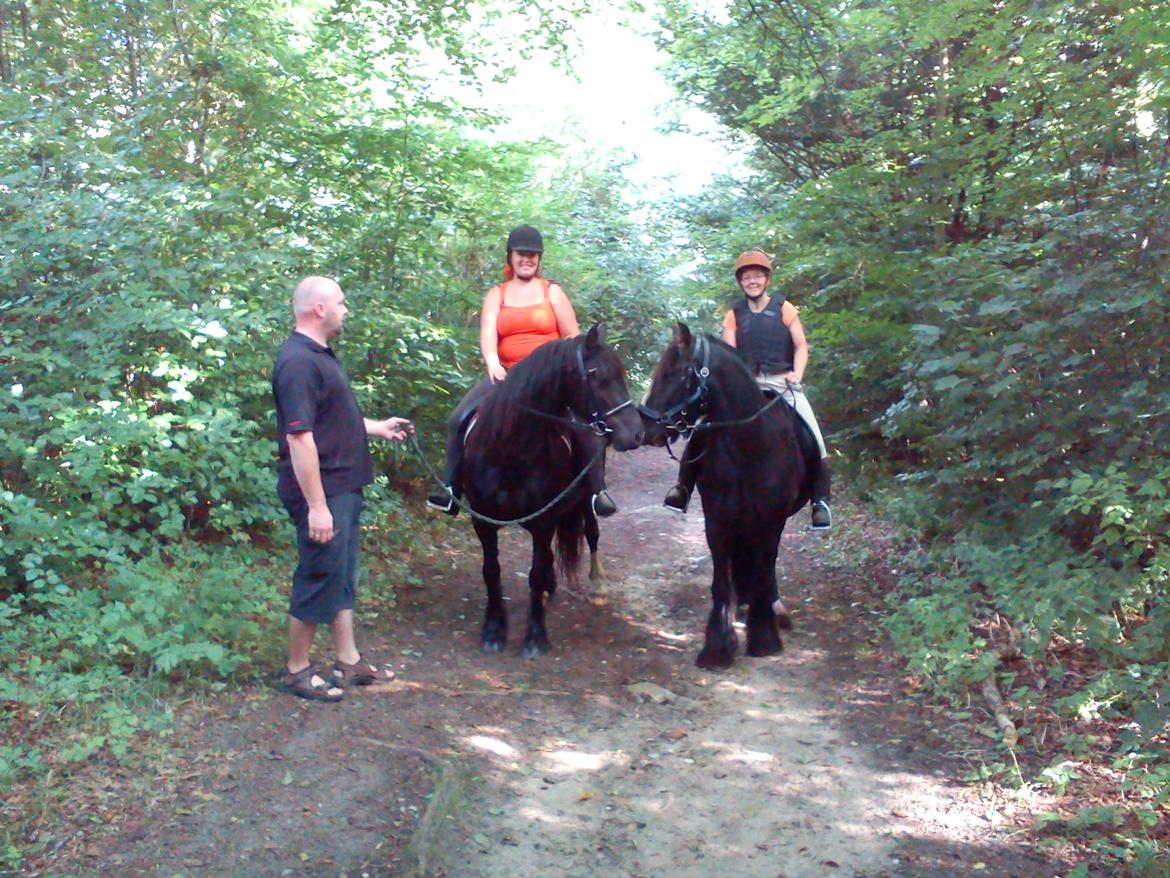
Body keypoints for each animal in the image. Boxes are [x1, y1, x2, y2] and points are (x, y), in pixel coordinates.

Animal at [460, 325, 641, 660]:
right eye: (598, 376)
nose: (636, 433)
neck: (510, 452)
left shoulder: (542, 522)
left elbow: (534, 573)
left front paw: (535, 638)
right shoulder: (483, 521)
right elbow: (491, 570)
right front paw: (493, 631)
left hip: (584, 498)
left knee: (591, 533)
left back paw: (597, 584)